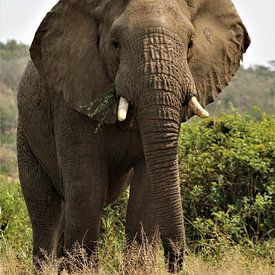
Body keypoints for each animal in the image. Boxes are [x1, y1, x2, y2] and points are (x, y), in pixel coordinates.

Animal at [16, 0, 250, 272]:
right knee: (45, 209)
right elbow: (88, 185)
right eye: (115, 44)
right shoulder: (70, 100)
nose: (174, 262)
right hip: (26, 137)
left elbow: (147, 187)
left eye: (191, 43)